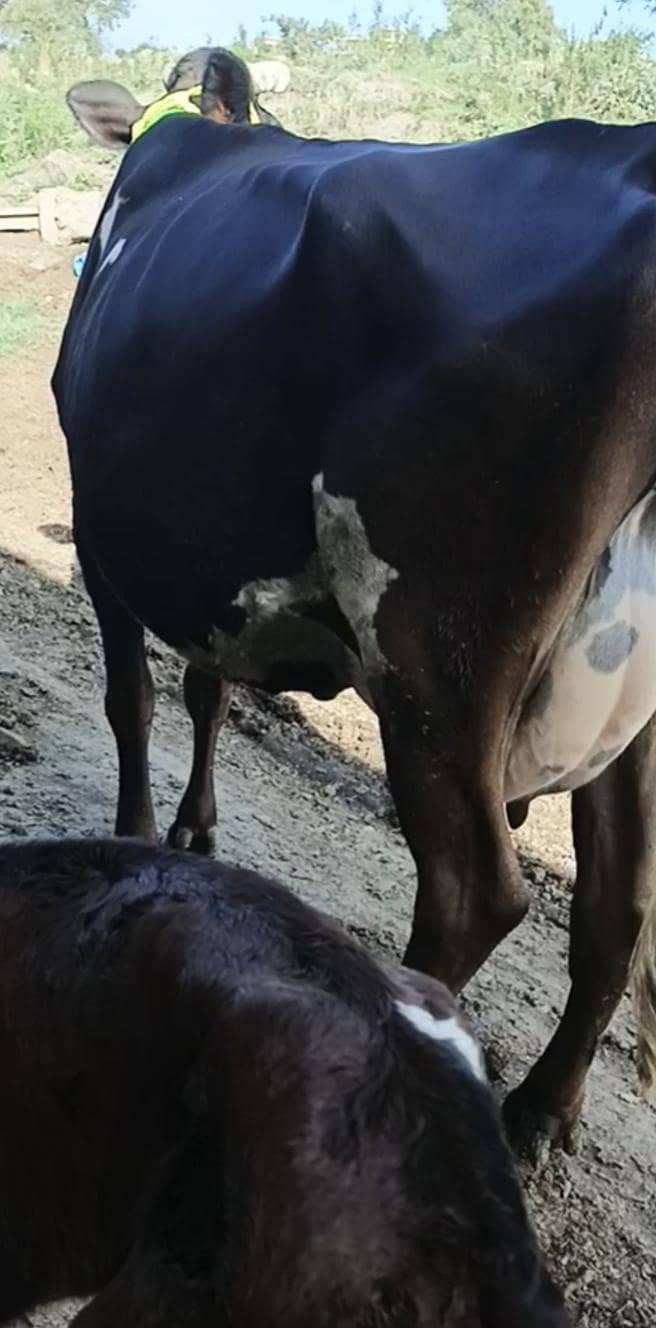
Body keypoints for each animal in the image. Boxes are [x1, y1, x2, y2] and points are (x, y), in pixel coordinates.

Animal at [52, 67, 656, 1161]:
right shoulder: (212, 572)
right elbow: (206, 689)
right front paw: (194, 827)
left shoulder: (95, 523)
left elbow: (132, 701)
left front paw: (136, 838)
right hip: (621, 702)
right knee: (615, 898)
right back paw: (542, 1108)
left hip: (433, 660)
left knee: (472, 893)